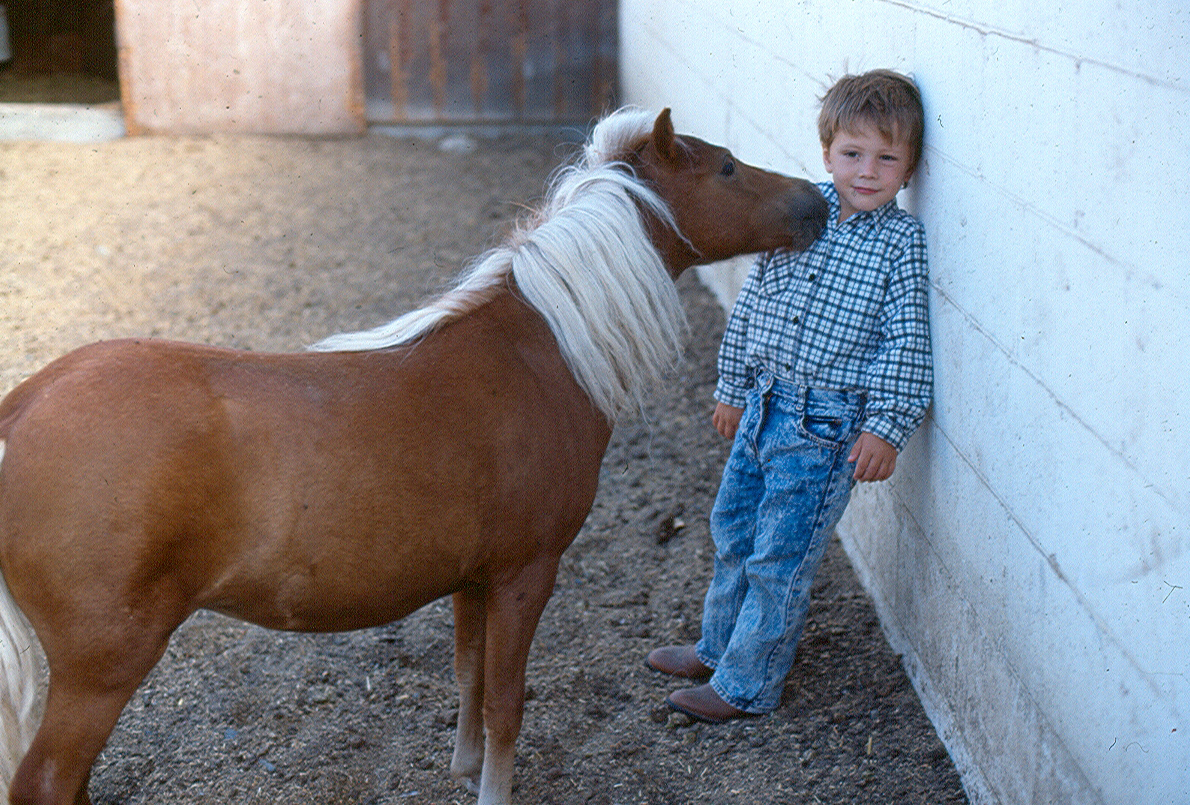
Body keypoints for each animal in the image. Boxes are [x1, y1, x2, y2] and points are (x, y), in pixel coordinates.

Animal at [0, 107, 828, 805]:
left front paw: (464, 767)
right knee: (46, 780)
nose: (817, 205)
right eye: (726, 169)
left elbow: (467, 676)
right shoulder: (525, 573)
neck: (538, 352)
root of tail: (26, 403)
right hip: (101, 669)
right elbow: (505, 700)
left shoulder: (473, 580)